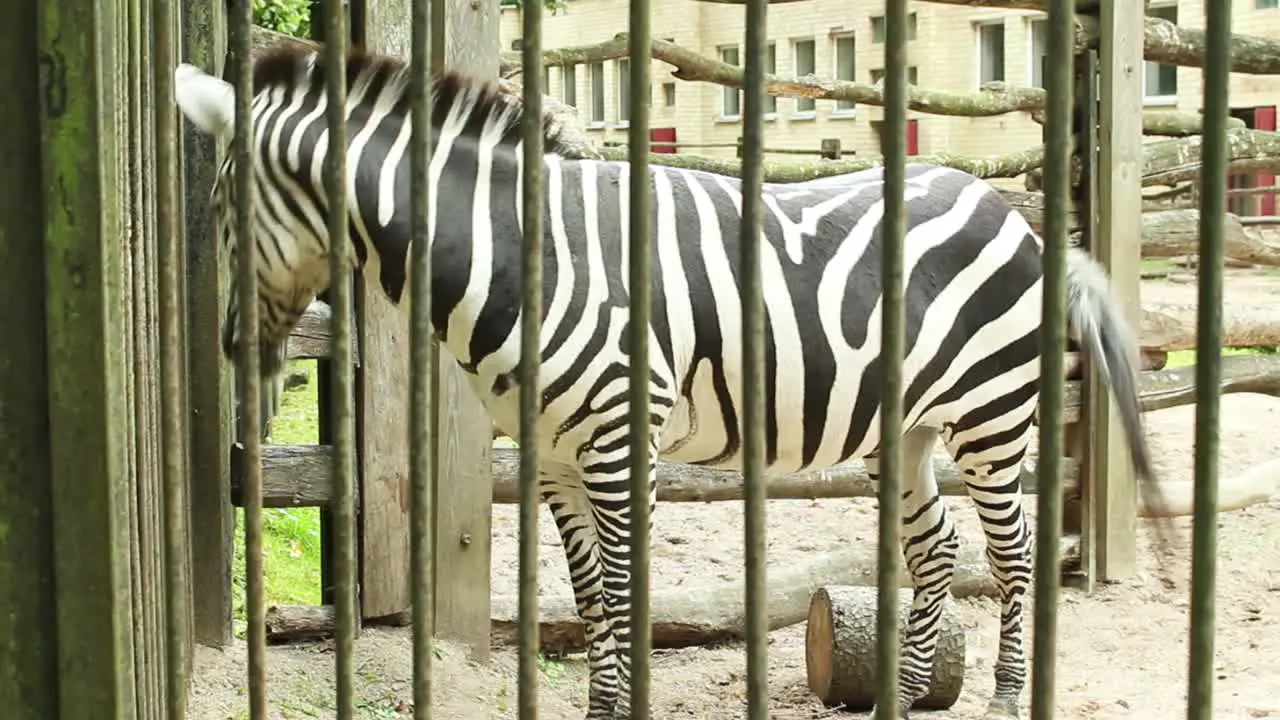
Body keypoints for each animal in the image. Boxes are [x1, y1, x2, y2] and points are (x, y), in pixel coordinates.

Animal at [175, 47, 1172, 712]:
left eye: (220, 208)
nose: (228, 346)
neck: (524, 256)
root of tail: (1007, 208)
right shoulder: (555, 458)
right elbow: (589, 600)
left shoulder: (623, 444)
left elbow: (623, 594)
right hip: (909, 428)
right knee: (934, 554)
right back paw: (904, 698)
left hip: (992, 418)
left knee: (1012, 557)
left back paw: (1004, 695)